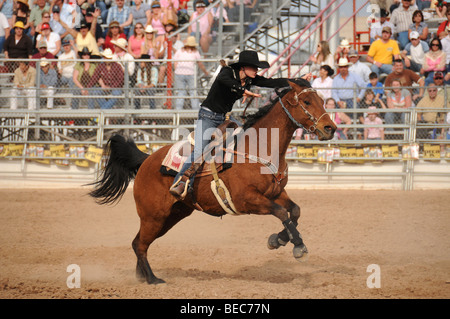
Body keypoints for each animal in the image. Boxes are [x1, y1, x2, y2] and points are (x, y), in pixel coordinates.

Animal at [89, 80, 334, 284]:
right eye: (306, 101)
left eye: (322, 101)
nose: (330, 128)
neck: (259, 149)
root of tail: (146, 160)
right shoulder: (246, 200)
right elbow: (282, 213)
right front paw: (297, 245)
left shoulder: (276, 193)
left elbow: (295, 211)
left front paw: (280, 240)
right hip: (153, 216)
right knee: (140, 244)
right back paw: (152, 279)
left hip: (172, 215)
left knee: (138, 242)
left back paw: (142, 276)